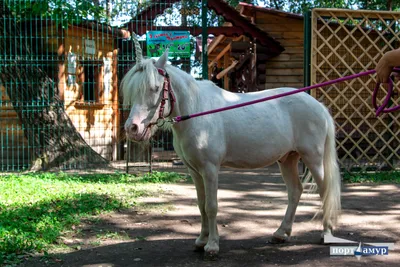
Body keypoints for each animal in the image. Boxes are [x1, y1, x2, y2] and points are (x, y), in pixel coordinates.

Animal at [122, 38, 340, 258]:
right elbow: (201, 204)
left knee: (324, 190)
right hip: (288, 159)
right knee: (295, 191)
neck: (197, 111)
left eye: (155, 88)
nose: (132, 128)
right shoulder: (194, 171)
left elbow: (211, 206)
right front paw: (201, 240)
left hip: (313, 158)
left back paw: (326, 232)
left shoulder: (210, 169)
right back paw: (280, 233)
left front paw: (212, 245)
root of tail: (319, 106)